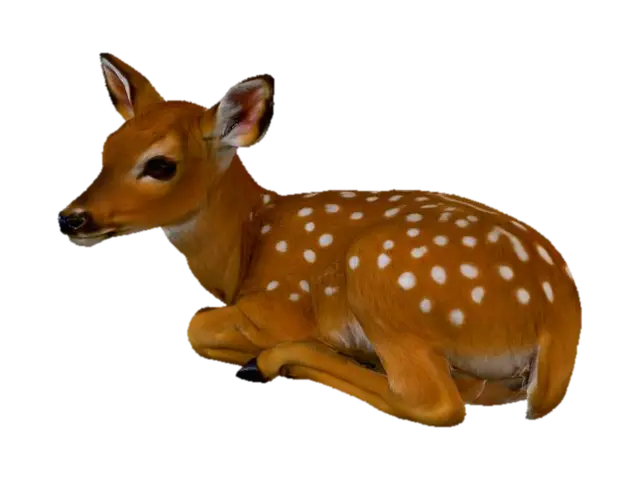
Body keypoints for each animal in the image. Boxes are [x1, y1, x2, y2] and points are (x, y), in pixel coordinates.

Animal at [57, 53, 583, 428]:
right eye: (107, 147)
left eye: (160, 165)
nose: (72, 218)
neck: (245, 246)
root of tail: (561, 315)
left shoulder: (279, 304)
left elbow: (196, 327)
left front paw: (261, 350)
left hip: (382, 276)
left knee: (436, 403)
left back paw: (293, 358)